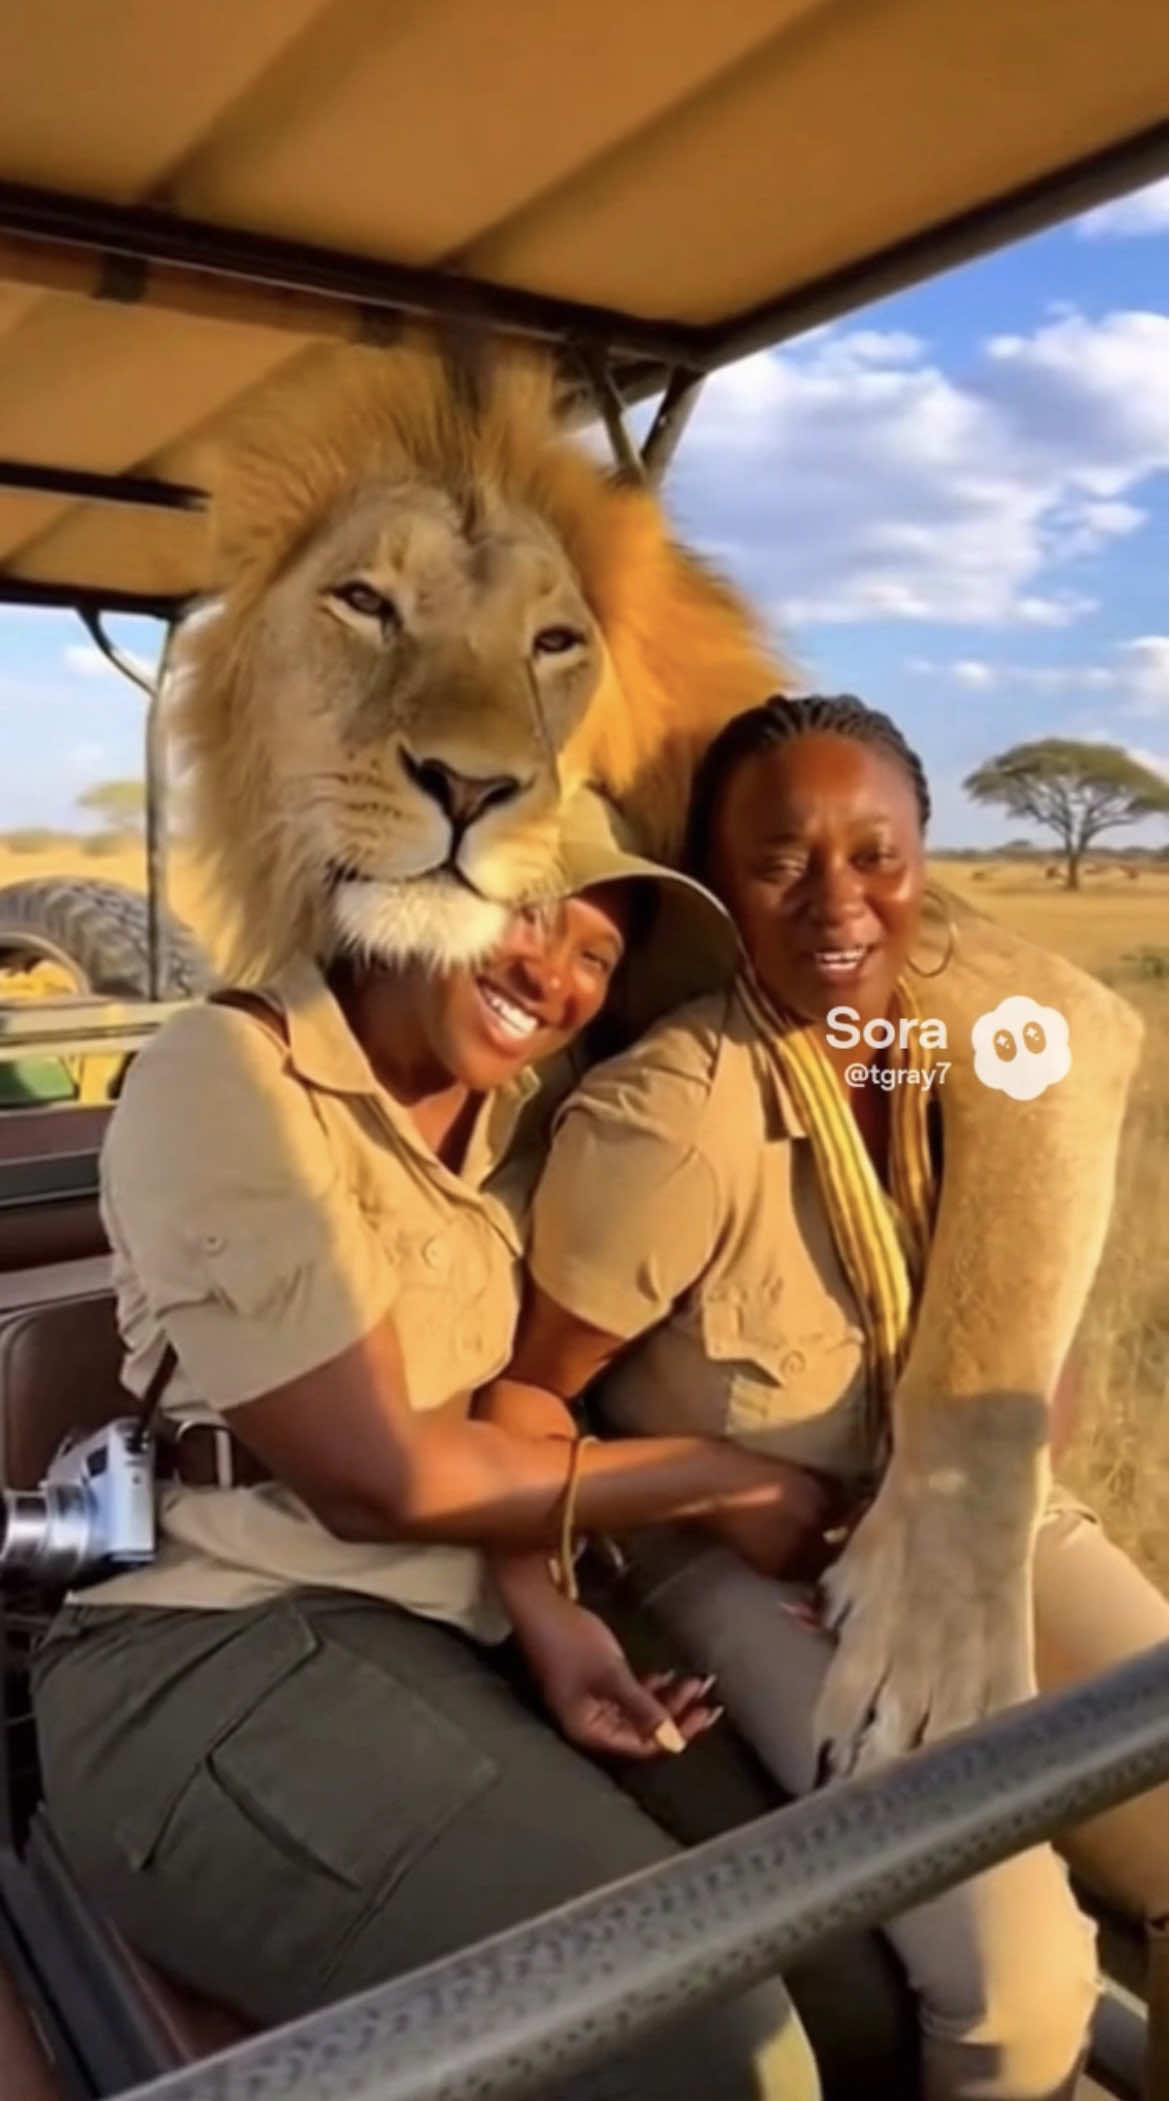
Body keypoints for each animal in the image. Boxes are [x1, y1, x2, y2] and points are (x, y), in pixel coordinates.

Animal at [171, 331, 1142, 1775]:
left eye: (553, 641)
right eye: (364, 604)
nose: (470, 785)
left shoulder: (1039, 999)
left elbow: (986, 1318)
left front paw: (928, 1654)